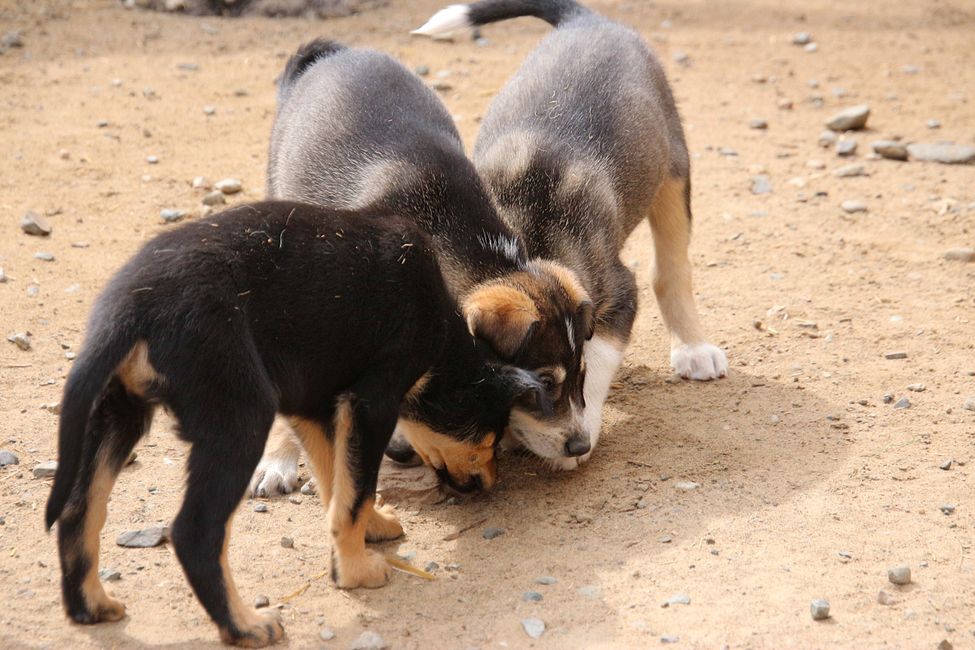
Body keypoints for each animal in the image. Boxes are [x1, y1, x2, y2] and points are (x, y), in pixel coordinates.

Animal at [43, 201, 548, 644]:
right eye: (490, 440)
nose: (491, 486)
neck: (443, 339)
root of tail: (130, 308)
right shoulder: (373, 402)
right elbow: (355, 494)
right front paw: (354, 573)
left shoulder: (314, 408)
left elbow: (339, 483)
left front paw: (367, 533)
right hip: (240, 421)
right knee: (195, 533)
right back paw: (245, 626)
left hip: (118, 411)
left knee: (79, 511)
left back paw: (90, 606)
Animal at [416, 0, 728, 466]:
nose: (579, 444)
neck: (523, 241)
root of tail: (589, 20)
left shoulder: (617, 291)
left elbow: (593, 363)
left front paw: (578, 436)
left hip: (674, 171)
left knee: (671, 268)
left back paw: (693, 348)